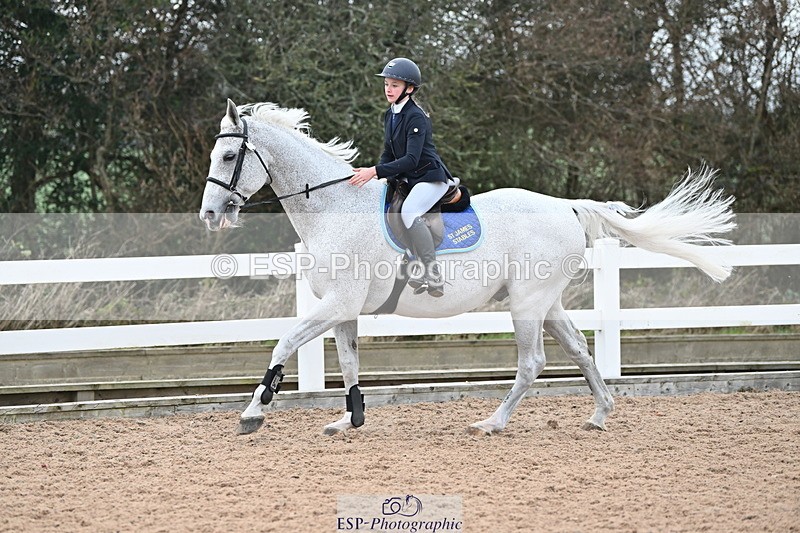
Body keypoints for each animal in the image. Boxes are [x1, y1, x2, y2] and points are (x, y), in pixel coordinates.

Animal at [199, 99, 735, 436]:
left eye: (227, 155)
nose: (209, 214)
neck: (333, 208)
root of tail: (566, 206)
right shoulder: (343, 309)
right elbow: (350, 363)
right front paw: (348, 419)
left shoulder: (336, 303)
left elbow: (283, 343)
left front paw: (253, 412)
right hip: (547, 301)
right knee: (581, 349)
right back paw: (600, 414)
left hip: (526, 303)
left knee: (532, 363)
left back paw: (492, 423)